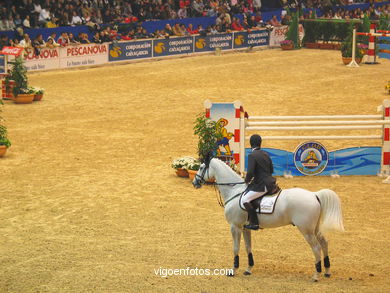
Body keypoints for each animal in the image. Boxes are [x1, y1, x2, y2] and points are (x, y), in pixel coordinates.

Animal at [192, 157, 344, 280]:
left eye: (201, 167)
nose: (195, 183)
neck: (234, 191)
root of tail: (314, 195)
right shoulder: (245, 228)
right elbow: (248, 247)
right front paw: (248, 269)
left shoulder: (235, 227)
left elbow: (236, 248)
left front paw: (233, 270)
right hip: (315, 229)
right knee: (324, 243)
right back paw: (327, 271)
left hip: (306, 230)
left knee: (317, 248)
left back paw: (316, 275)